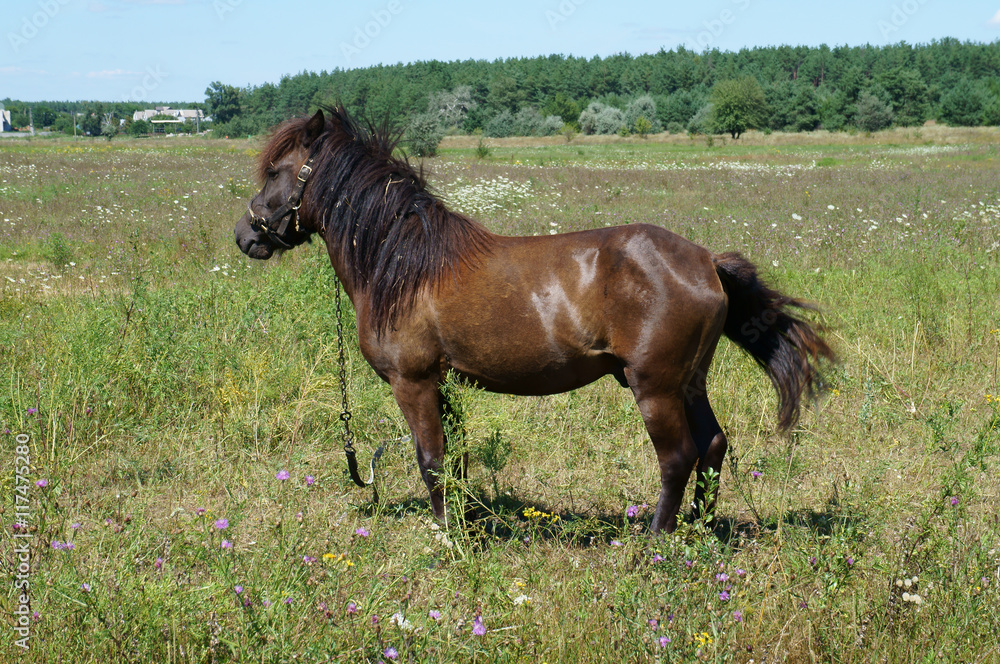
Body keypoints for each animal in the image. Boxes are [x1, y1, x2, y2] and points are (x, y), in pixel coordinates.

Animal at [234, 106, 834, 533]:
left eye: (275, 171)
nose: (244, 236)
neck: (406, 263)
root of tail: (707, 261)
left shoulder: (414, 382)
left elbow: (431, 461)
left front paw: (450, 540)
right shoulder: (444, 384)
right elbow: (456, 459)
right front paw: (468, 524)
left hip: (655, 385)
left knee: (678, 457)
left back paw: (656, 544)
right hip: (689, 382)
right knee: (712, 447)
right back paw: (701, 531)